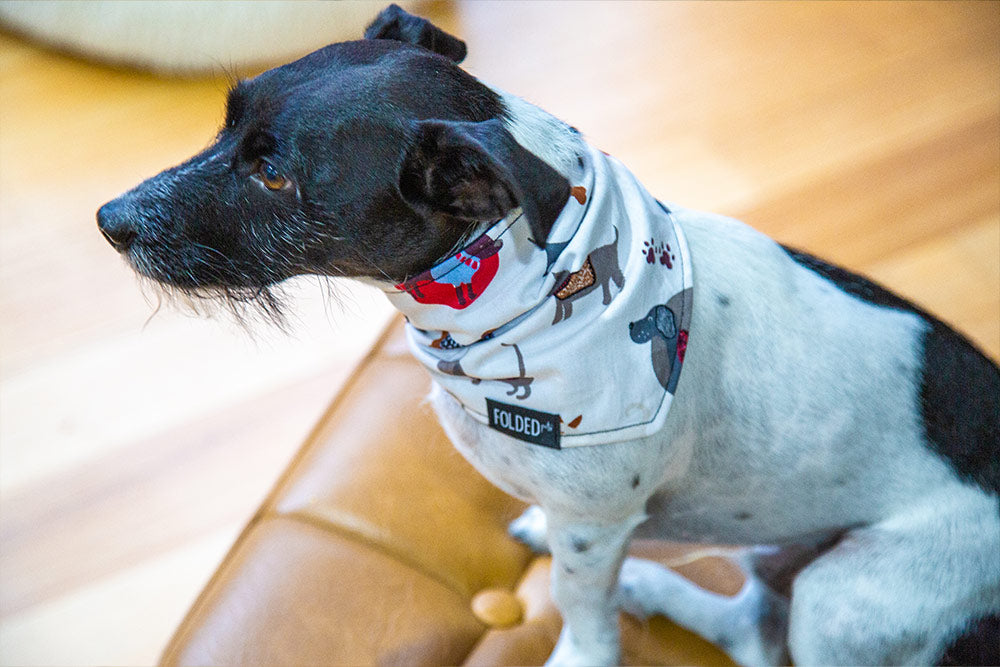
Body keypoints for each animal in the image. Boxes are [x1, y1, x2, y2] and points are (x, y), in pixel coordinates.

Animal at [95, 6, 1000, 667]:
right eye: (226, 125)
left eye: (274, 174)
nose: (108, 220)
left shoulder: (595, 525)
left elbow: (578, 607)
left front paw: (580, 649)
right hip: (787, 554)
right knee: (750, 627)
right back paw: (651, 589)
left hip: (847, 600)